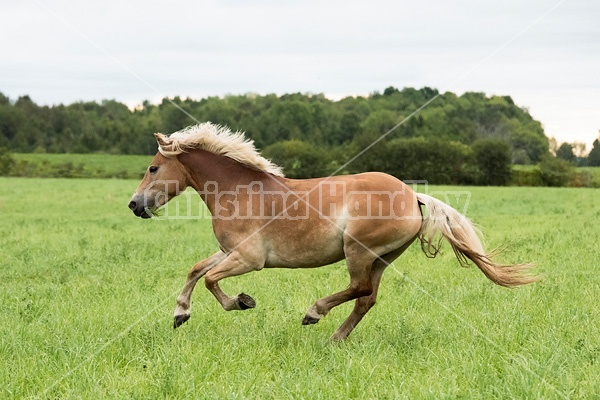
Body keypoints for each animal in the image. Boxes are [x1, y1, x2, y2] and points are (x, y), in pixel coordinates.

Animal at [127, 122, 540, 340]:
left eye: (152, 168)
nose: (134, 205)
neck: (240, 190)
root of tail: (413, 196)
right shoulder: (231, 252)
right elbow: (196, 270)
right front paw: (180, 314)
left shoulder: (249, 259)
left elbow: (212, 280)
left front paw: (242, 302)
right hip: (382, 258)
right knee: (366, 298)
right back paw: (335, 339)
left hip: (358, 250)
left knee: (358, 289)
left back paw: (314, 314)